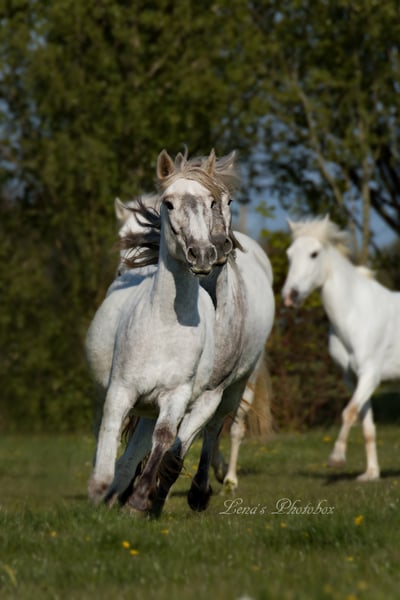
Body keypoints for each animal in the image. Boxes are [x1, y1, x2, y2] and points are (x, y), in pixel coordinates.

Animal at [282, 215, 400, 481]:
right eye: (290, 254)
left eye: (314, 254)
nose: (290, 296)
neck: (355, 316)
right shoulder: (352, 378)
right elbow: (366, 423)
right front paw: (371, 474)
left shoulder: (370, 375)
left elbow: (349, 412)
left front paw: (336, 459)